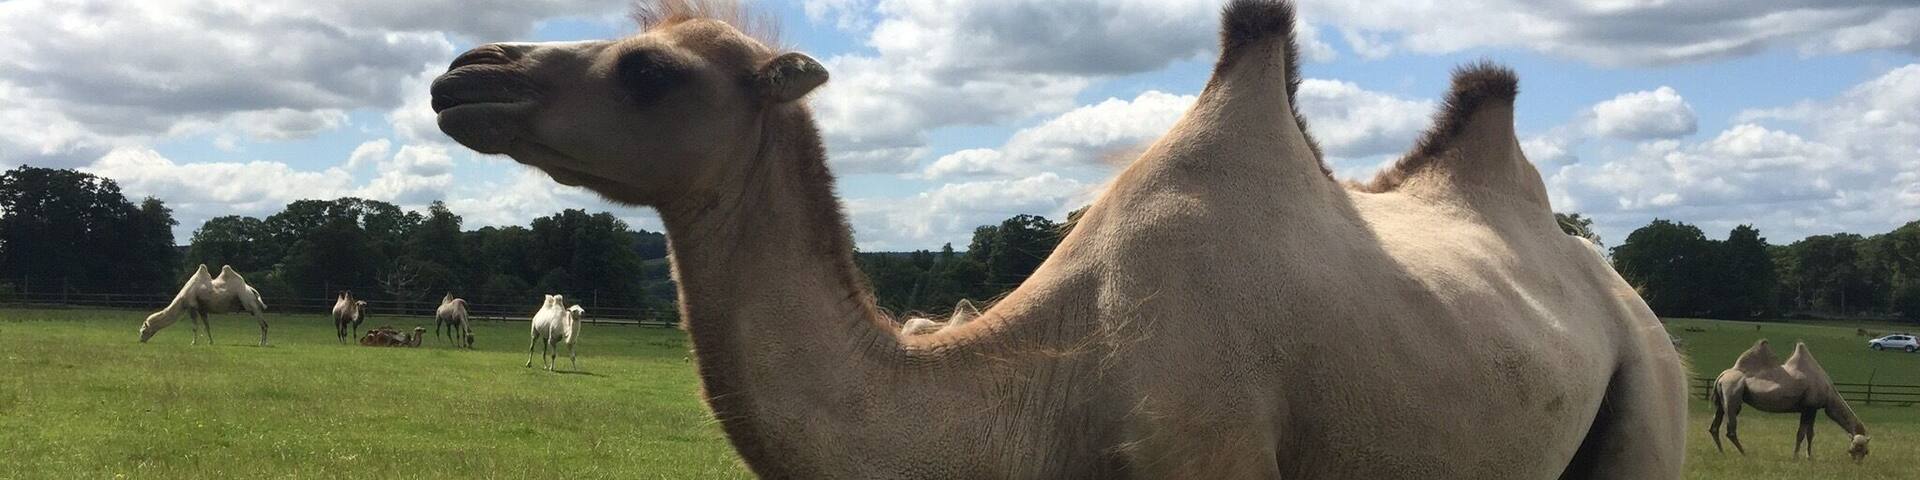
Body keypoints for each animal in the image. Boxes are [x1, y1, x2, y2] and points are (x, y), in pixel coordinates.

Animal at [140, 264, 270, 346]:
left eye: (143, 331)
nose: (141, 340)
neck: (182, 299)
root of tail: (252, 290)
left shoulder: (192, 307)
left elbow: (194, 327)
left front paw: (193, 343)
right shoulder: (202, 310)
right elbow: (207, 327)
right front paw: (211, 342)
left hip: (250, 303)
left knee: (263, 325)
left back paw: (262, 343)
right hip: (254, 307)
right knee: (264, 324)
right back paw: (262, 342)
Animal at [431, 0, 1687, 476]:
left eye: (649, 70)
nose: (464, 73)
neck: (1047, 394)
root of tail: (1629, 303)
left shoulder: (1215, 450)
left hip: (1649, 401)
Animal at [1709, 340, 1870, 461]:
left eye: (1865, 451)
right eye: (1856, 449)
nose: (1858, 463)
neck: (1829, 393)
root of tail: (1721, 376)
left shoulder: (1810, 409)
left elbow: (1809, 433)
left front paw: (1808, 457)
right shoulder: (1809, 407)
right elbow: (1802, 434)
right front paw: (1798, 457)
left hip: (1722, 402)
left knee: (1714, 428)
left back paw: (1722, 453)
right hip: (1732, 397)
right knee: (1730, 430)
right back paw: (1744, 453)